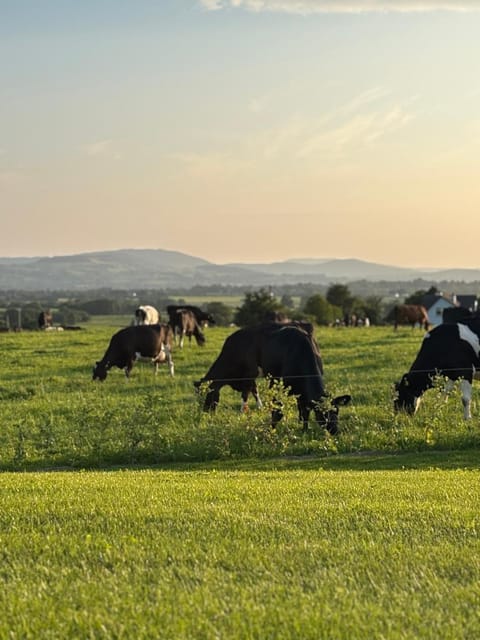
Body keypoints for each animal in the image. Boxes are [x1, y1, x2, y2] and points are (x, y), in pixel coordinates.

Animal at [195, 323, 351, 434]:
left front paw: (303, 430)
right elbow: (270, 406)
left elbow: (303, 411)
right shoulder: (260, 378)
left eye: (337, 411)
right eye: (322, 413)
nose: (334, 430)